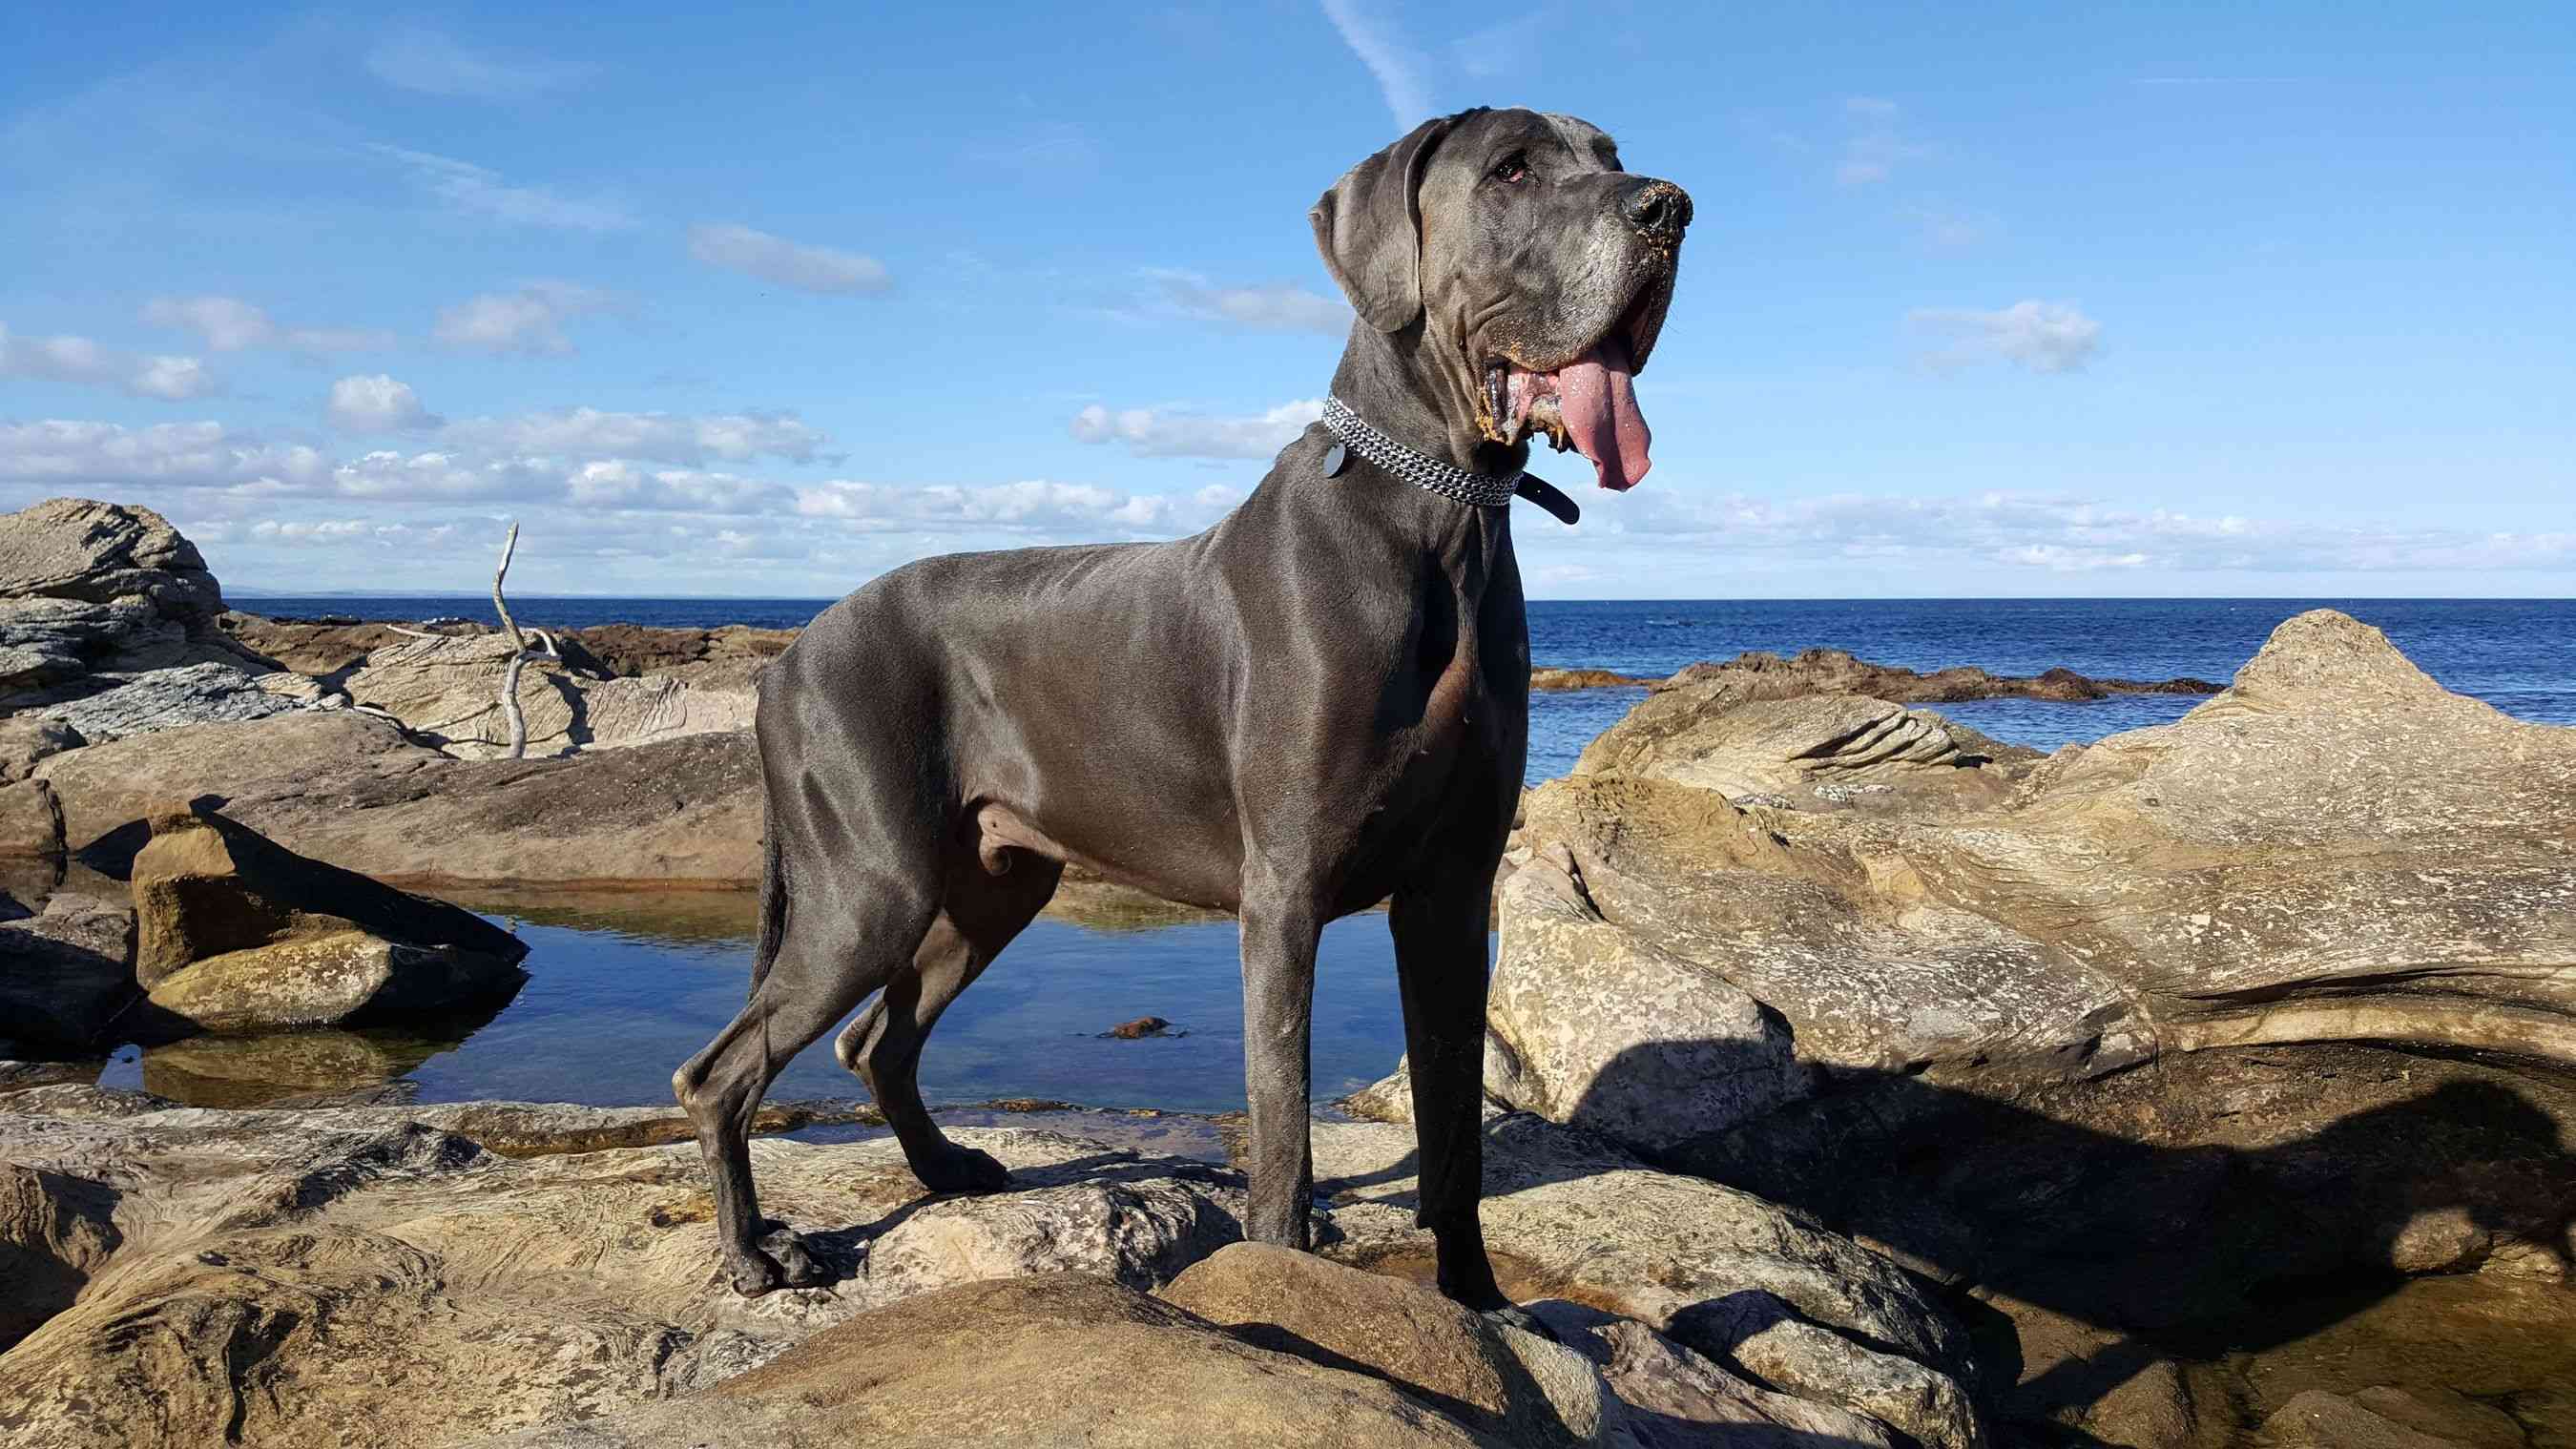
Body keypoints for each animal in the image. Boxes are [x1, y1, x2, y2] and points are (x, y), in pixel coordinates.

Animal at [679, 102, 1690, 1328]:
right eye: (1511, 171)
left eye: (1609, 156)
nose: (1671, 208)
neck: (1441, 513)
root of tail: (788, 654)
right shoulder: (1285, 889)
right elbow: (1285, 1127)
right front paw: (1286, 1287)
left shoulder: (1452, 887)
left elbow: (1454, 1128)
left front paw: (1479, 1302)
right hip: (868, 885)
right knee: (724, 1069)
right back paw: (754, 1251)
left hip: (992, 884)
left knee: (879, 1040)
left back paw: (945, 1170)